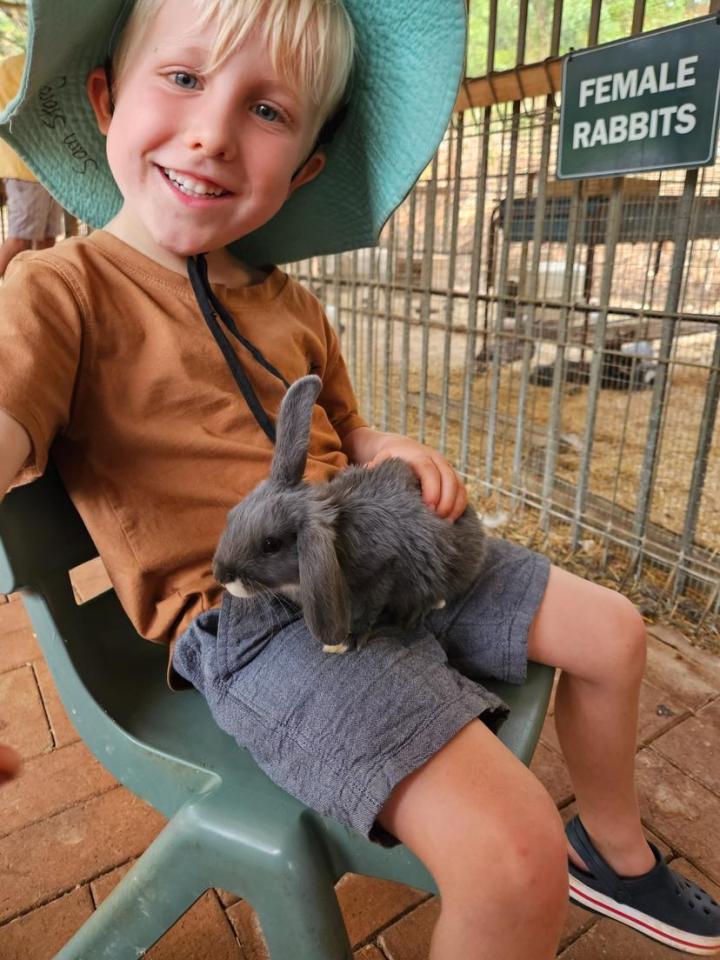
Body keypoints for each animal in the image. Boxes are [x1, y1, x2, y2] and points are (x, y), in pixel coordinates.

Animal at [211, 376, 486, 652]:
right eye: (232, 515)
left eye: (271, 544)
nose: (221, 575)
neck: (340, 539)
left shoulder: (383, 569)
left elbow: (369, 609)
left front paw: (347, 641)